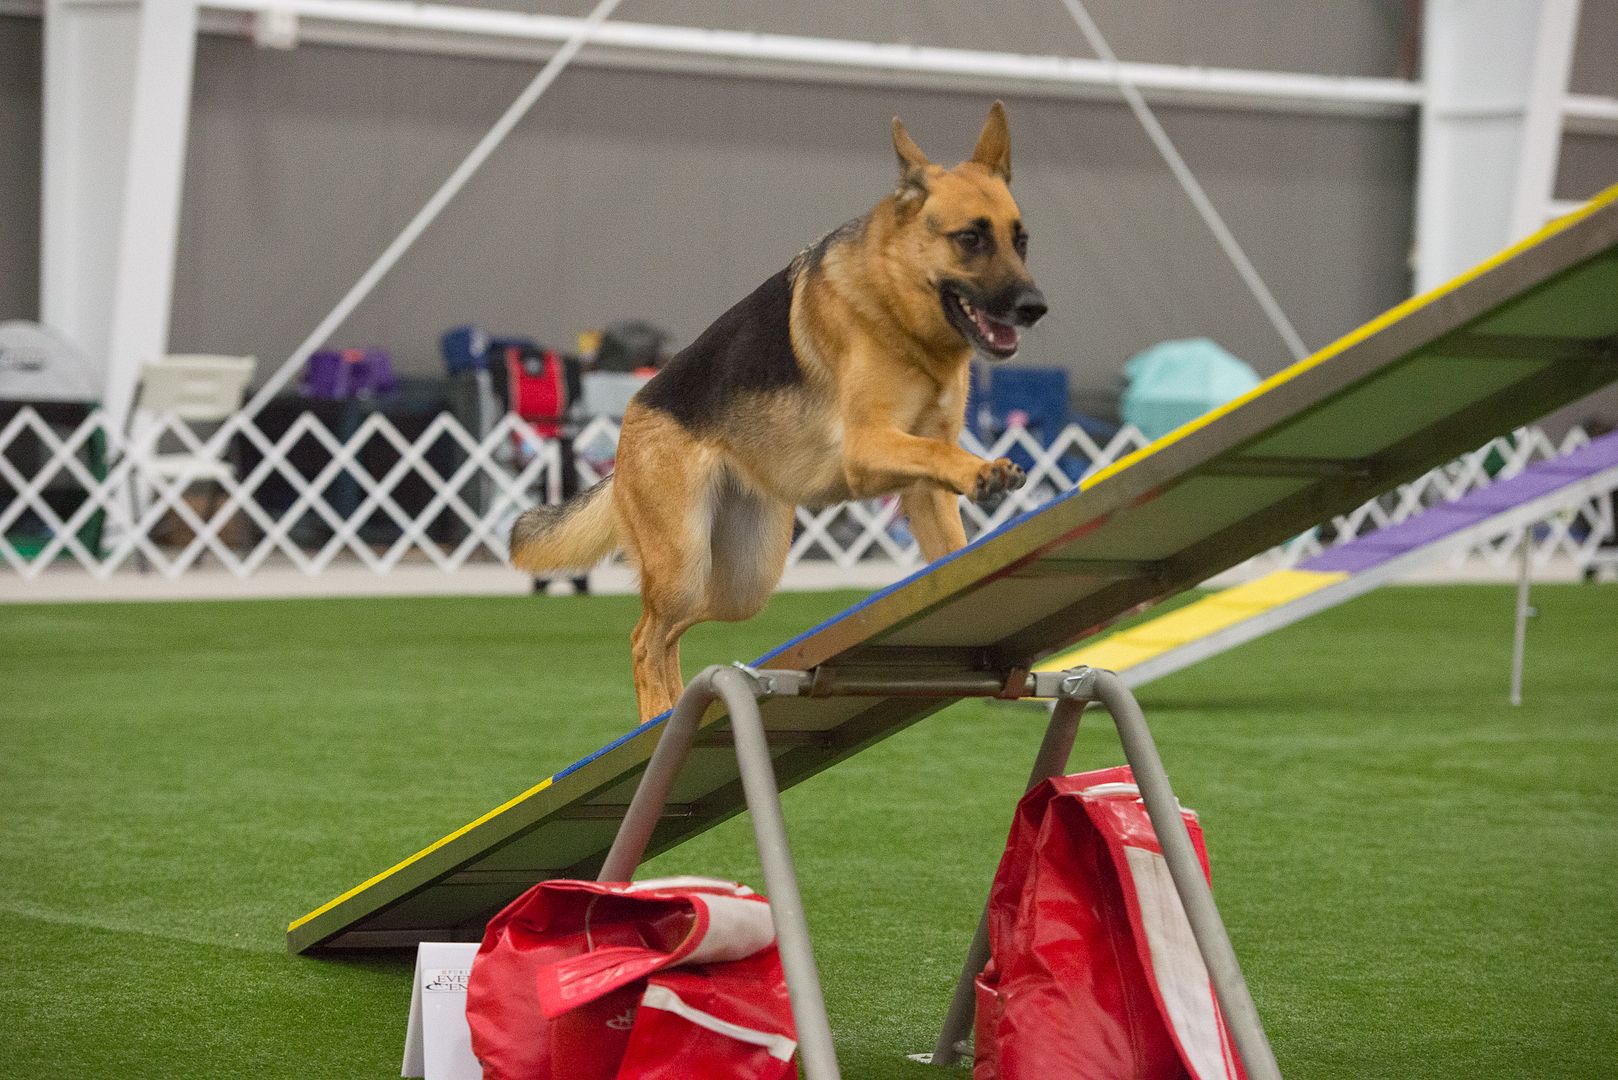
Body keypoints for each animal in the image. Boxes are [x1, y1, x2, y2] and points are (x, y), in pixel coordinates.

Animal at [514, 105, 1048, 722]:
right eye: (969, 239)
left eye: (1020, 241)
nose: (1035, 308)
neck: (896, 308)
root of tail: (635, 407)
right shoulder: (867, 446)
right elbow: (938, 450)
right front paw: (984, 470)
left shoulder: (923, 491)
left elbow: (951, 539)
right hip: (685, 565)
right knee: (645, 639)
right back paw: (654, 721)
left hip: (741, 581)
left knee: (669, 637)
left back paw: (671, 715)